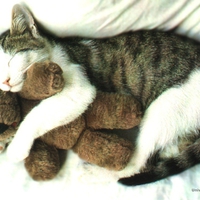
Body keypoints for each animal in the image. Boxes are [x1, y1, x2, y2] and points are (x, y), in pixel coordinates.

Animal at [1, 3, 200, 182]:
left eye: (11, 60)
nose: (5, 81)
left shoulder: (78, 88)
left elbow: (37, 114)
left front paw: (17, 147)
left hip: (165, 108)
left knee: (137, 165)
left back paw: (91, 172)